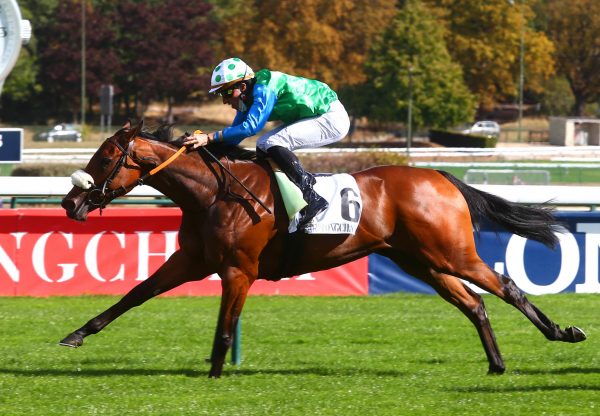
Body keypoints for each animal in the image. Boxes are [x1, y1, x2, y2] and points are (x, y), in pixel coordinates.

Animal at [58, 120, 584, 376]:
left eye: (106, 156)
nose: (70, 202)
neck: (214, 192)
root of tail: (439, 175)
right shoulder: (192, 260)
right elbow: (135, 294)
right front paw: (76, 334)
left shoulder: (239, 270)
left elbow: (225, 329)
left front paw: (214, 373)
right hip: (422, 261)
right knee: (475, 304)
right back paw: (496, 364)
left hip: (452, 252)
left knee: (506, 286)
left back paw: (562, 332)